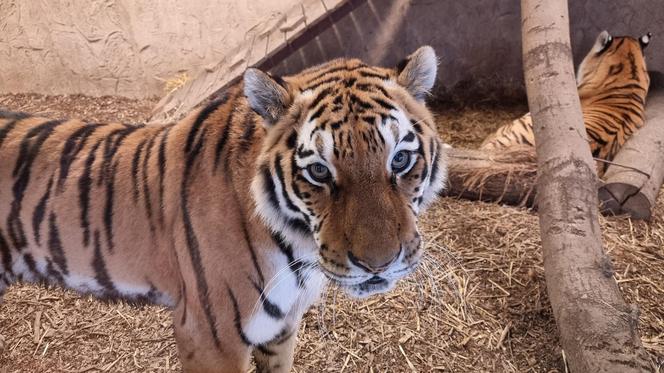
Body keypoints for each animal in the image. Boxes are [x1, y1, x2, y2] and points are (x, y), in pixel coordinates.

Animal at [0, 45, 448, 370]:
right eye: (319, 171)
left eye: (400, 160)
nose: (379, 265)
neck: (298, 249)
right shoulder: (209, 336)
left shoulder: (281, 327)